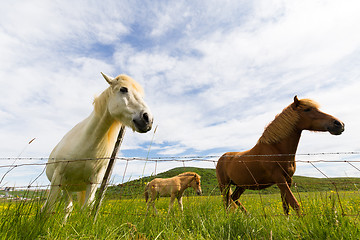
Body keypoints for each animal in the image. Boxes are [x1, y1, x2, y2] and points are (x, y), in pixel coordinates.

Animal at [42, 71, 153, 218]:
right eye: (123, 89)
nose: (148, 119)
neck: (86, 143)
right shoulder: (57, 178)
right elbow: (48, 209)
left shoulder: (93, 182)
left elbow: (86, 209)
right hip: (65, 186)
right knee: (63, 207)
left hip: (70, 188)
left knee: (69, 207)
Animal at [215, 96, 344, 215]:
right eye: (307, 109)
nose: (339, 124)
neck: (276, 149)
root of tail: (222, 158)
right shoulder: (279, 179)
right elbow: (295, 204)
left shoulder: (288, 180)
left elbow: (286, 207)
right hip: (224, 185)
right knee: (227, 203)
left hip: (241, 185)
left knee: (234, 198)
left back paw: (249, 216)